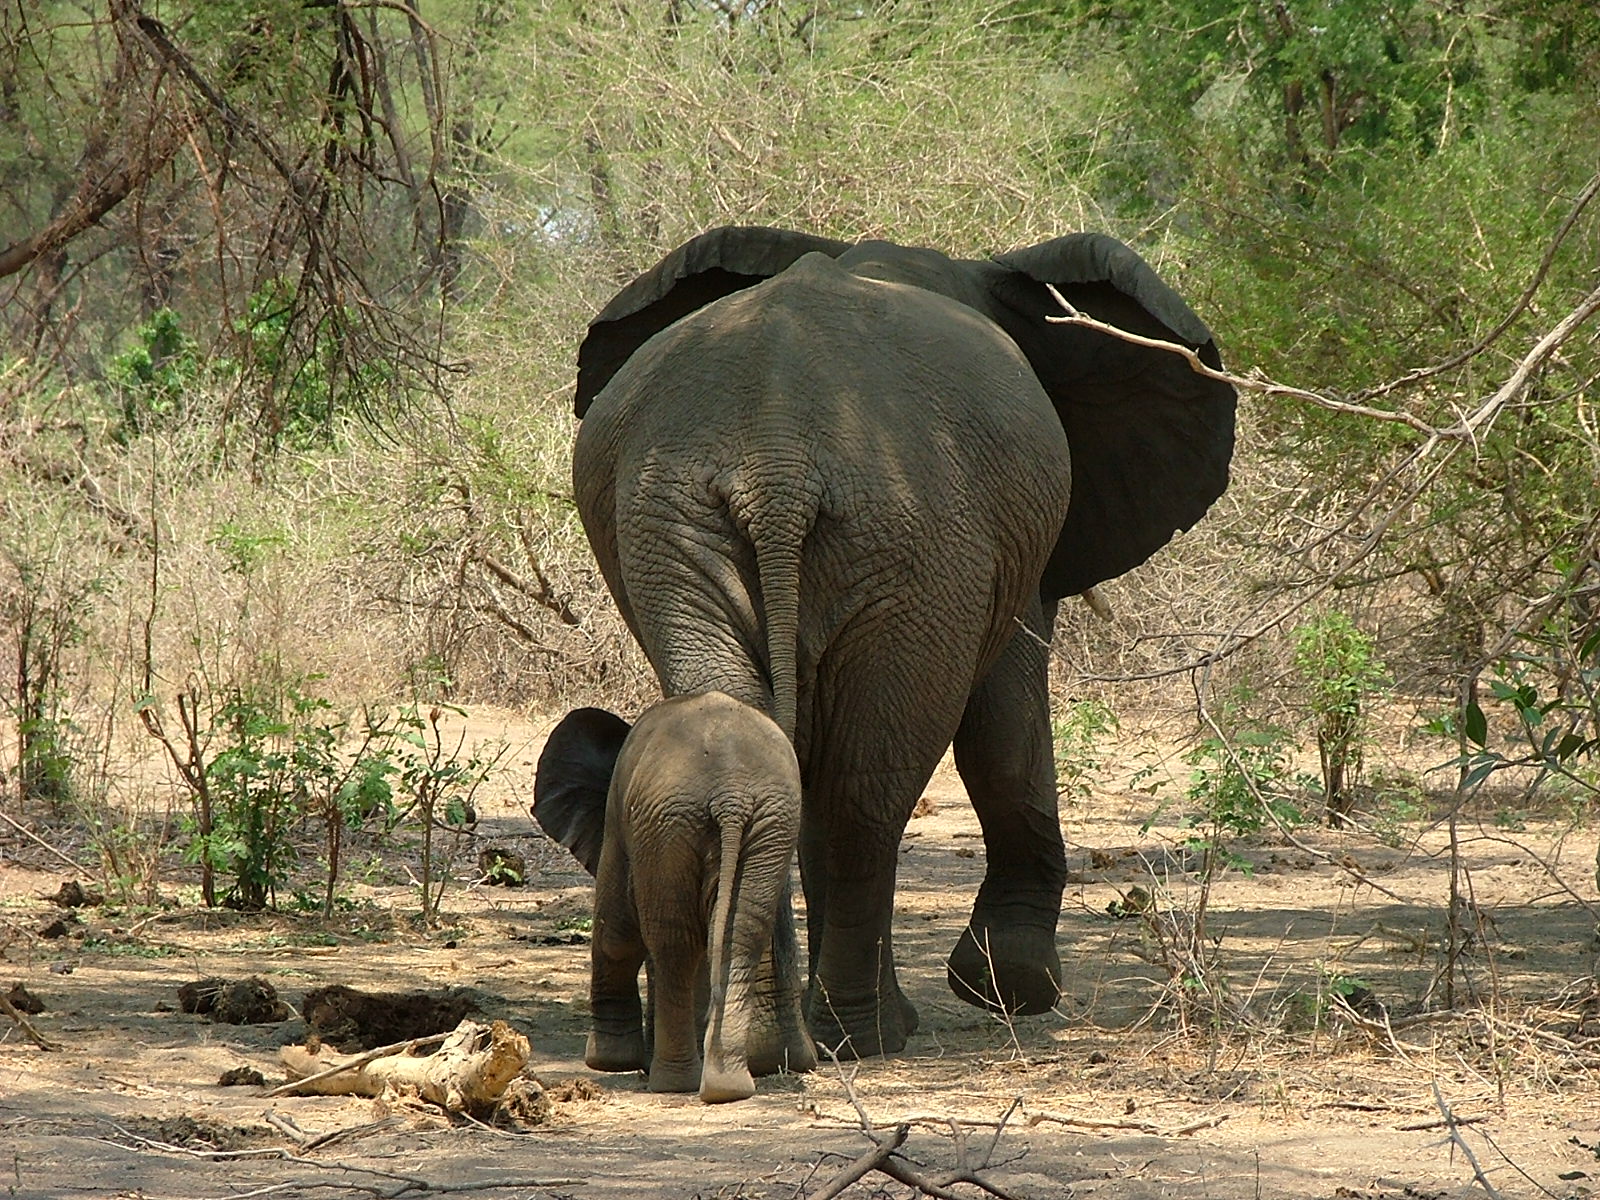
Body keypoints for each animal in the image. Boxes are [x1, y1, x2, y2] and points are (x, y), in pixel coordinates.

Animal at [534, 691, 816, 1102]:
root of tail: (730, 796)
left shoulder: (619, 819)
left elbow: (617, 931)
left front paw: (608, 1061)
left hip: (670, 822)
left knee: (672, 942)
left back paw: (673, 1083)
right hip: (766, 823)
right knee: (737, 936)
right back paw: (725, 1087)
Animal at [564, 224, 1235, 1057]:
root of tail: (778, 463)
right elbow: (1006, 720)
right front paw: (1014, 987)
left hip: (685, 523)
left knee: (765, 751)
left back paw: (770, 1044)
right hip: (911, 535)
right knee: (867, 790)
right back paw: (866, 1034)